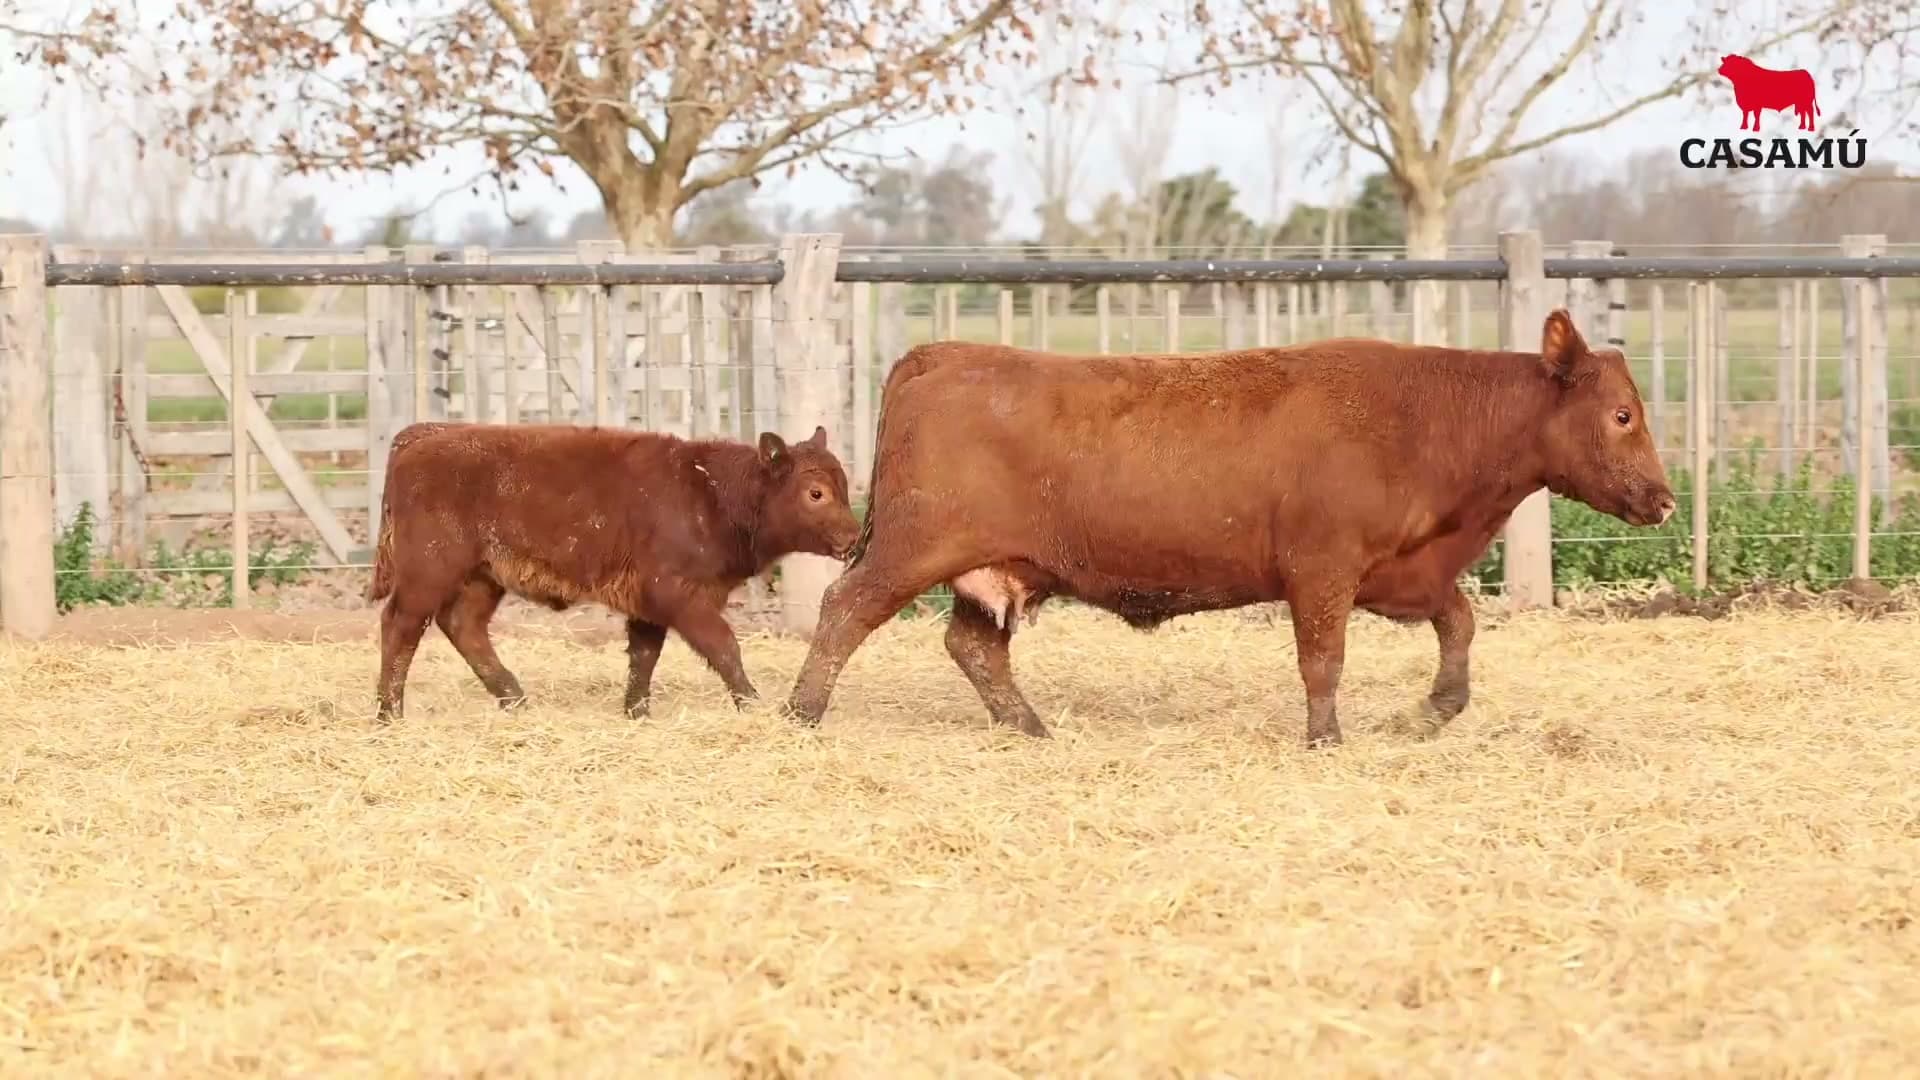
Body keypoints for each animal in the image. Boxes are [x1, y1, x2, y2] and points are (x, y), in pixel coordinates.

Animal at [367, 422, 860, 721]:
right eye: (815, 492)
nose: (854, 536)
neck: (710, 491)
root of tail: (421, 437)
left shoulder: (648, 605)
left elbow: (644, 656)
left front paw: (636, 711)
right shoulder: (678, 595)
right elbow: (724, 647)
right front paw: (752, 703)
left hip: (482, 578)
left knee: (462, 626)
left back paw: (515, 699)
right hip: (429, 573)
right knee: (401, 625)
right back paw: (390, 713)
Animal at [780, 309, 1676, 749]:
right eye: (1623, 414)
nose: (1665, 500)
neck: (1424, 419)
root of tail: (942, 355)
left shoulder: (1402, 572)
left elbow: (1459, 622)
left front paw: (1433, 710)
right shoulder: (1322, 570)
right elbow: (1323, 661)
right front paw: (1326, 739)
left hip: (996, 568)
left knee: (974, 647)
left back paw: (1029, 729)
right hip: (912, 548)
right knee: (843, 611)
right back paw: (801, 713)